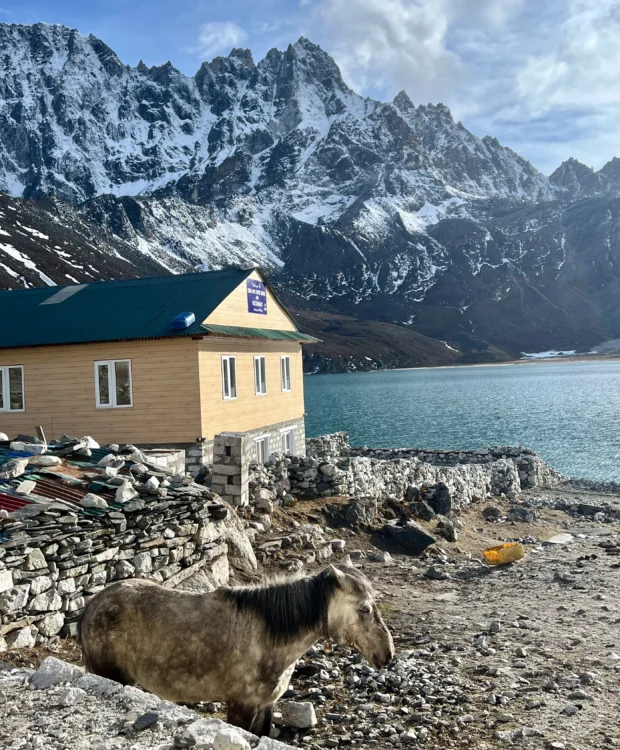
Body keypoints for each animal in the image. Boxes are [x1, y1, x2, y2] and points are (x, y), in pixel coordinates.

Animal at [79, 564, 394, 736]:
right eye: (364, 609)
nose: (387, 654)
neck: (267, 639)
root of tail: (91, 607)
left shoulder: (265, 706)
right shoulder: (241, 707)